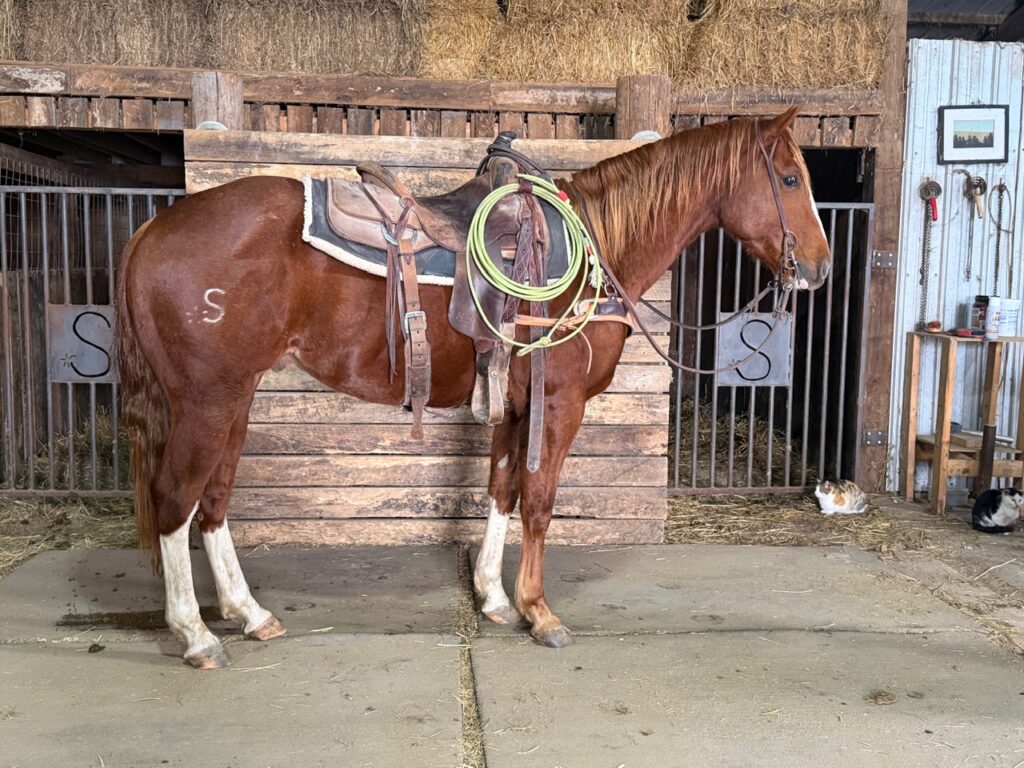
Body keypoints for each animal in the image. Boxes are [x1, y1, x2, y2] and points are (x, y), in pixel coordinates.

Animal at [115, 106, 830, 668]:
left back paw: (249, 613)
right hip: (208, 401)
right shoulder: (558, 405)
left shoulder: (514, 405)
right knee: (175, 498)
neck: (591, 250)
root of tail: (154, 229)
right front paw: (540, 612)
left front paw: (493, 597)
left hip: (234, 400)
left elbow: (501, 492)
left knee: (213, 502)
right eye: (790, 178)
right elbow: (539, 502)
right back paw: (197, 634)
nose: (820, 270)